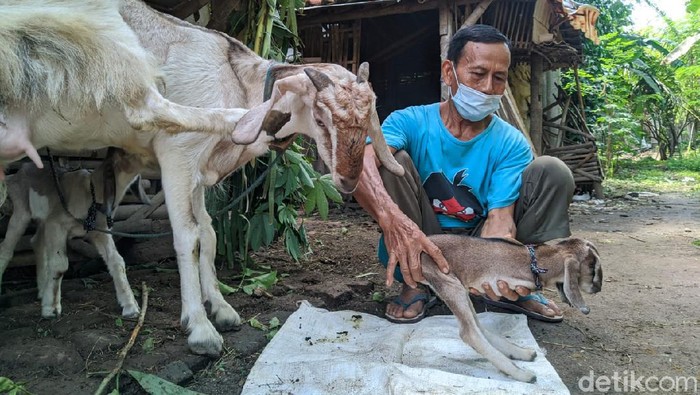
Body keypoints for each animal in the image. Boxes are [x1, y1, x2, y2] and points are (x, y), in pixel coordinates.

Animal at [0, 148, 146, 318]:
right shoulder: (56, 224)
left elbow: (116, 260)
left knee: (36, 242)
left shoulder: (100, 231)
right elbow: (60, 264)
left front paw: (130, 306)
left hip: (44, 220)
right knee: (7, 249)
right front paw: (51, 308)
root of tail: (19, 172)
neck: (91, 192)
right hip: (21, 210)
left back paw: (43, 290)